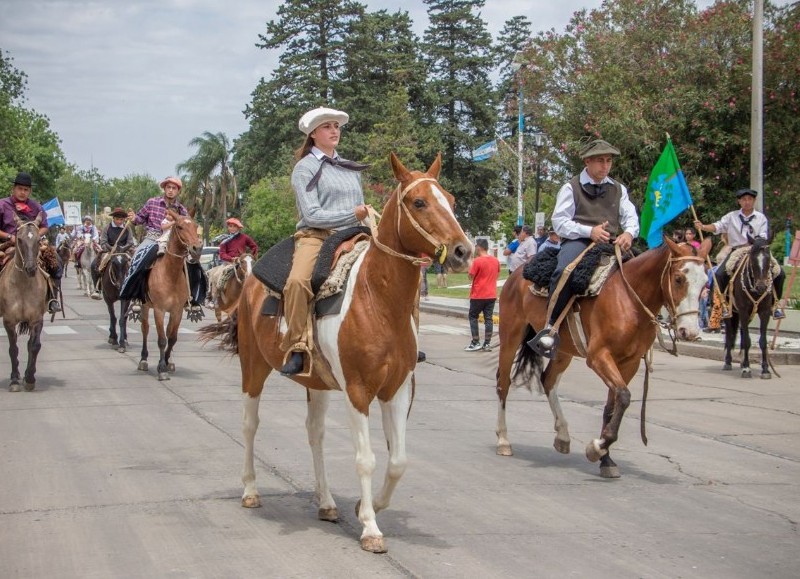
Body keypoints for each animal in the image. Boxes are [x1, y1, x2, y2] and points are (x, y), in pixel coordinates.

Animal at [0, 215, 48, 392]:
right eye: (19, 240)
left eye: (38, 240)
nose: (31, 269)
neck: (22, 284)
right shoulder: (8, 321)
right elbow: (13, 349)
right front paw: (14, 379)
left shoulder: (36, 319)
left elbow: (34, 346)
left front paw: (30, 378)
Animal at [137, 211, 202, 382]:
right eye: (179, 227)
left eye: (195, 226)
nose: (197, 248)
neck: (170, 274)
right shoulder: (158, 310)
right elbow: (161, 340)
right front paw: (161, 369)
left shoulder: (176, 311)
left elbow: (172, 338)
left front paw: (166, 362)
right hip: (145, 306)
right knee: (145, 329)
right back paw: (143, 360)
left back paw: (170, 362)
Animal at [202, 153, 476, 552]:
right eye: (419, 202)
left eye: (452, 201)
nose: (462, 251)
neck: (378, 299)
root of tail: (250, 280)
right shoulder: (358, 390)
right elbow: (366, 459)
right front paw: (371, 528)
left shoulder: (398, 389)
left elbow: (398, 461)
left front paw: (367, 505)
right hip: (253, 367)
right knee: (250, 424)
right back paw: (251, 490)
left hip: (316, 382)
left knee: (315, 433)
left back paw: (327, 503)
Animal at [720, 237, 780, 380]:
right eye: (752, 259)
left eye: (768, 258)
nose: (762, 287)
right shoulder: (742, 311)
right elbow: (747, 340)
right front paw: (747, 369)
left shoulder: (764, 312)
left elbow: (762, 341)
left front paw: (765, 370)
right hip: (730, 313)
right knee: (730, 335)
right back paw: (728, 362)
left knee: (742, 333)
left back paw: (742, 362)